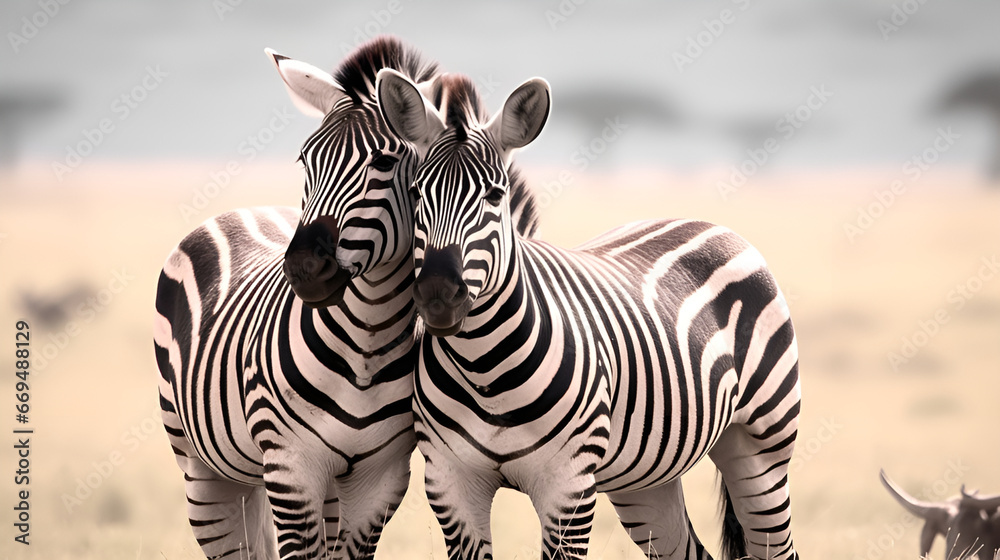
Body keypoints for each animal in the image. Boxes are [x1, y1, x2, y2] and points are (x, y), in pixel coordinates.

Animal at [376, 69, 802, 560]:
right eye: (415, 192)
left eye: (495, 195)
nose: (438, 294)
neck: (484, 368)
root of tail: (709, 223)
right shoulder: (450, 481)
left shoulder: (569, 486)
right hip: (647, 477)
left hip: (761, 448)